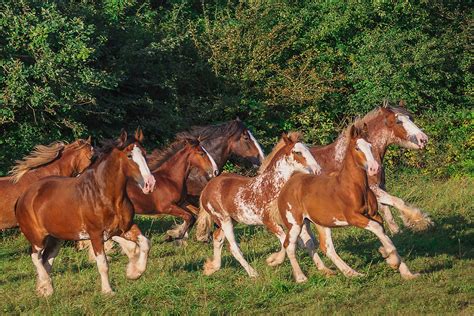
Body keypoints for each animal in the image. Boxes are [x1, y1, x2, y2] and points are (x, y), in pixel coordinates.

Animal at [16, 129, 156, 296]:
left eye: (145, 153)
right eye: (129, 156)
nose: (149, 184)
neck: (104, 195)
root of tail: (23, 197)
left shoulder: (124, 228)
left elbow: (145, 243)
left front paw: (133, 272)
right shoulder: (96, 234)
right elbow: (103, 264)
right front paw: (108, 291)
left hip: (56, 239)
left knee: (47, 260)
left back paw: (45, 290)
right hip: (37, 238)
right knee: (35, 257)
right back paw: (47, 285)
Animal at [198, 132, 320, 278]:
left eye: (308, 150)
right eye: (297, 152)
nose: (317, 170)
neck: (271, 187)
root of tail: (206, 188)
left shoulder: (291, 221)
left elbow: (299, 242)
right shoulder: (269, 222)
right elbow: (285, 241)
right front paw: (274, 260)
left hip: (232, 220)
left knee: (217, 238)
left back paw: (212, 267)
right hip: (224, 220)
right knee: (233, 248)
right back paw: (253, 274)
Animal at [278, 123, 418, 282]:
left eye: (370, 146)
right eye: (357, 148)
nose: (374, 168)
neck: (353, 186)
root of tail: (292, 179)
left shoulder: (375, 215)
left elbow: (383, 233)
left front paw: (406, 272)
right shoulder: (353, 217)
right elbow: (376, 228)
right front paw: (392, 260)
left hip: (321, 222)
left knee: (327, 247)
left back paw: (352, 273)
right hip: (294, 223)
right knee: (289, 246)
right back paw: (301, 277)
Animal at [310, 101, 432, 235]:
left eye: (411, 118)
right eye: (398, 122)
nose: (423, 139)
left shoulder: (379, 188)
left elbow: (388, 214)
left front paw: (398, 232)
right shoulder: (373, 189)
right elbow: (398, 201)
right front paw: (419, 221)